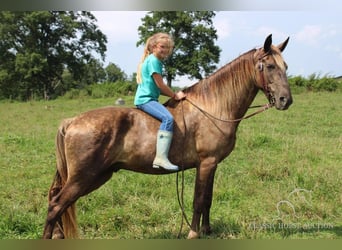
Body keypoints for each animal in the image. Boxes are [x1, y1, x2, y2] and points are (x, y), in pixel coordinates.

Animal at [42, 34, 292, 239]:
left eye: (286, 66)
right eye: (270, 66)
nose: (285, 100)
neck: (213, 107)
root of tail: (71, 121)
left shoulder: (212, 165)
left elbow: (208, 199)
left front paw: (207, 230)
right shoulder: (206, 163)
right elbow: (198, 200)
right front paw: (193, 233)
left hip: (95, 176)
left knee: (58, 204)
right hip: (83, 178)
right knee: (56, 205)